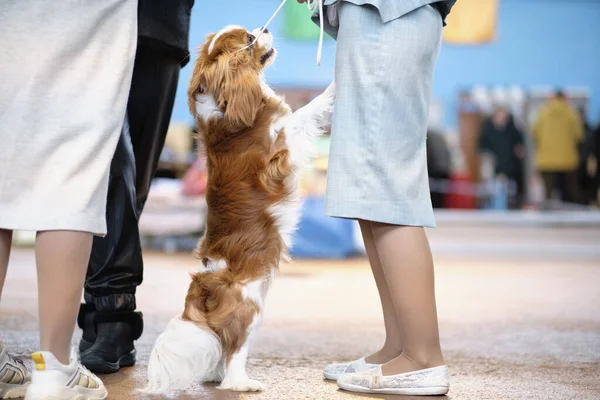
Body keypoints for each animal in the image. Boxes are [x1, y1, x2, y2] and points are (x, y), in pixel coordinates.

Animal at [143, 25, 336, 394]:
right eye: (249, 39)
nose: (265, 28)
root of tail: (203, 286)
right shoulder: (281, 152)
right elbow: (305, 112)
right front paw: (335, 85)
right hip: (251, 310)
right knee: (233, 352)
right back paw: (242, 383)